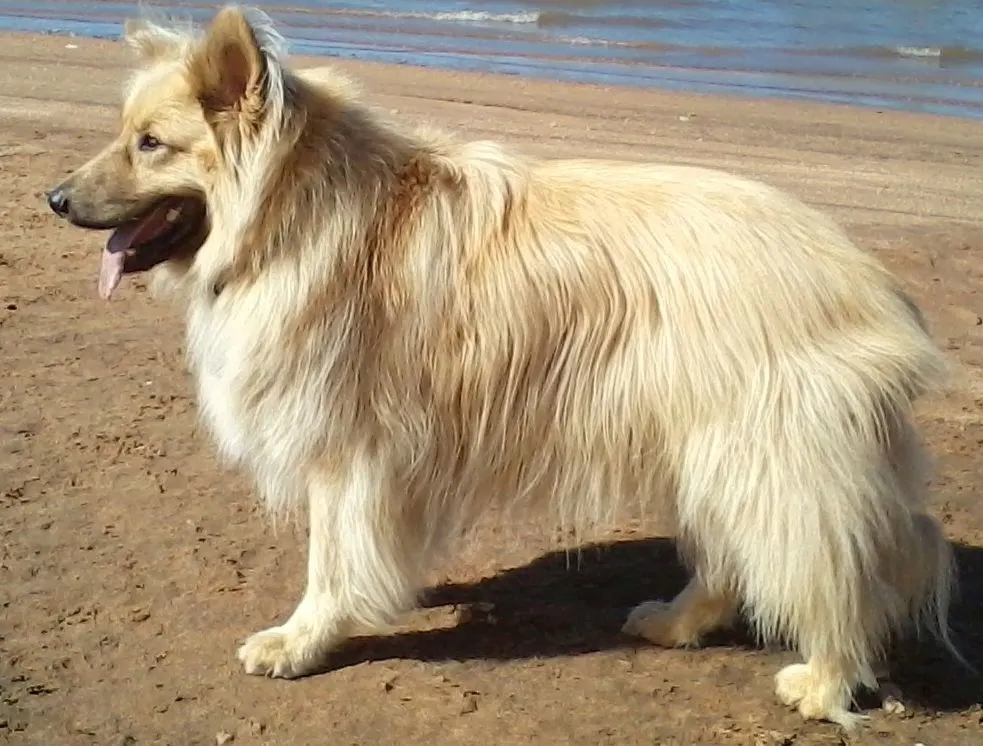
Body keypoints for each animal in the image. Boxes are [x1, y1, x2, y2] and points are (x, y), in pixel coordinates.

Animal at [48, 4, 960, 728]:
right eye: (125, 135)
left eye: (151, 144)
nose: (52, 199)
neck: (294, 213)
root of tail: (869, 282)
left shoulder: (349, 453)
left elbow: (331, 562)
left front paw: (302, 640)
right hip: (710, 450)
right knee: (742, 556)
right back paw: (678, 622)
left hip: (764, 456)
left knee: (832, 573)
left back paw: (825, 681)